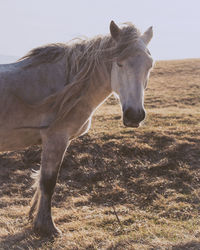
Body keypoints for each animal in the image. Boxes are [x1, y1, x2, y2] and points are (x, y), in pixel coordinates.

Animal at [0, 20, 154, 235]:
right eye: (119, 63)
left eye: (150, 65)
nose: (134, 115)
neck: (67, 90)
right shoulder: (56, 139)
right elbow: (48, 182)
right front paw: (46, 227)